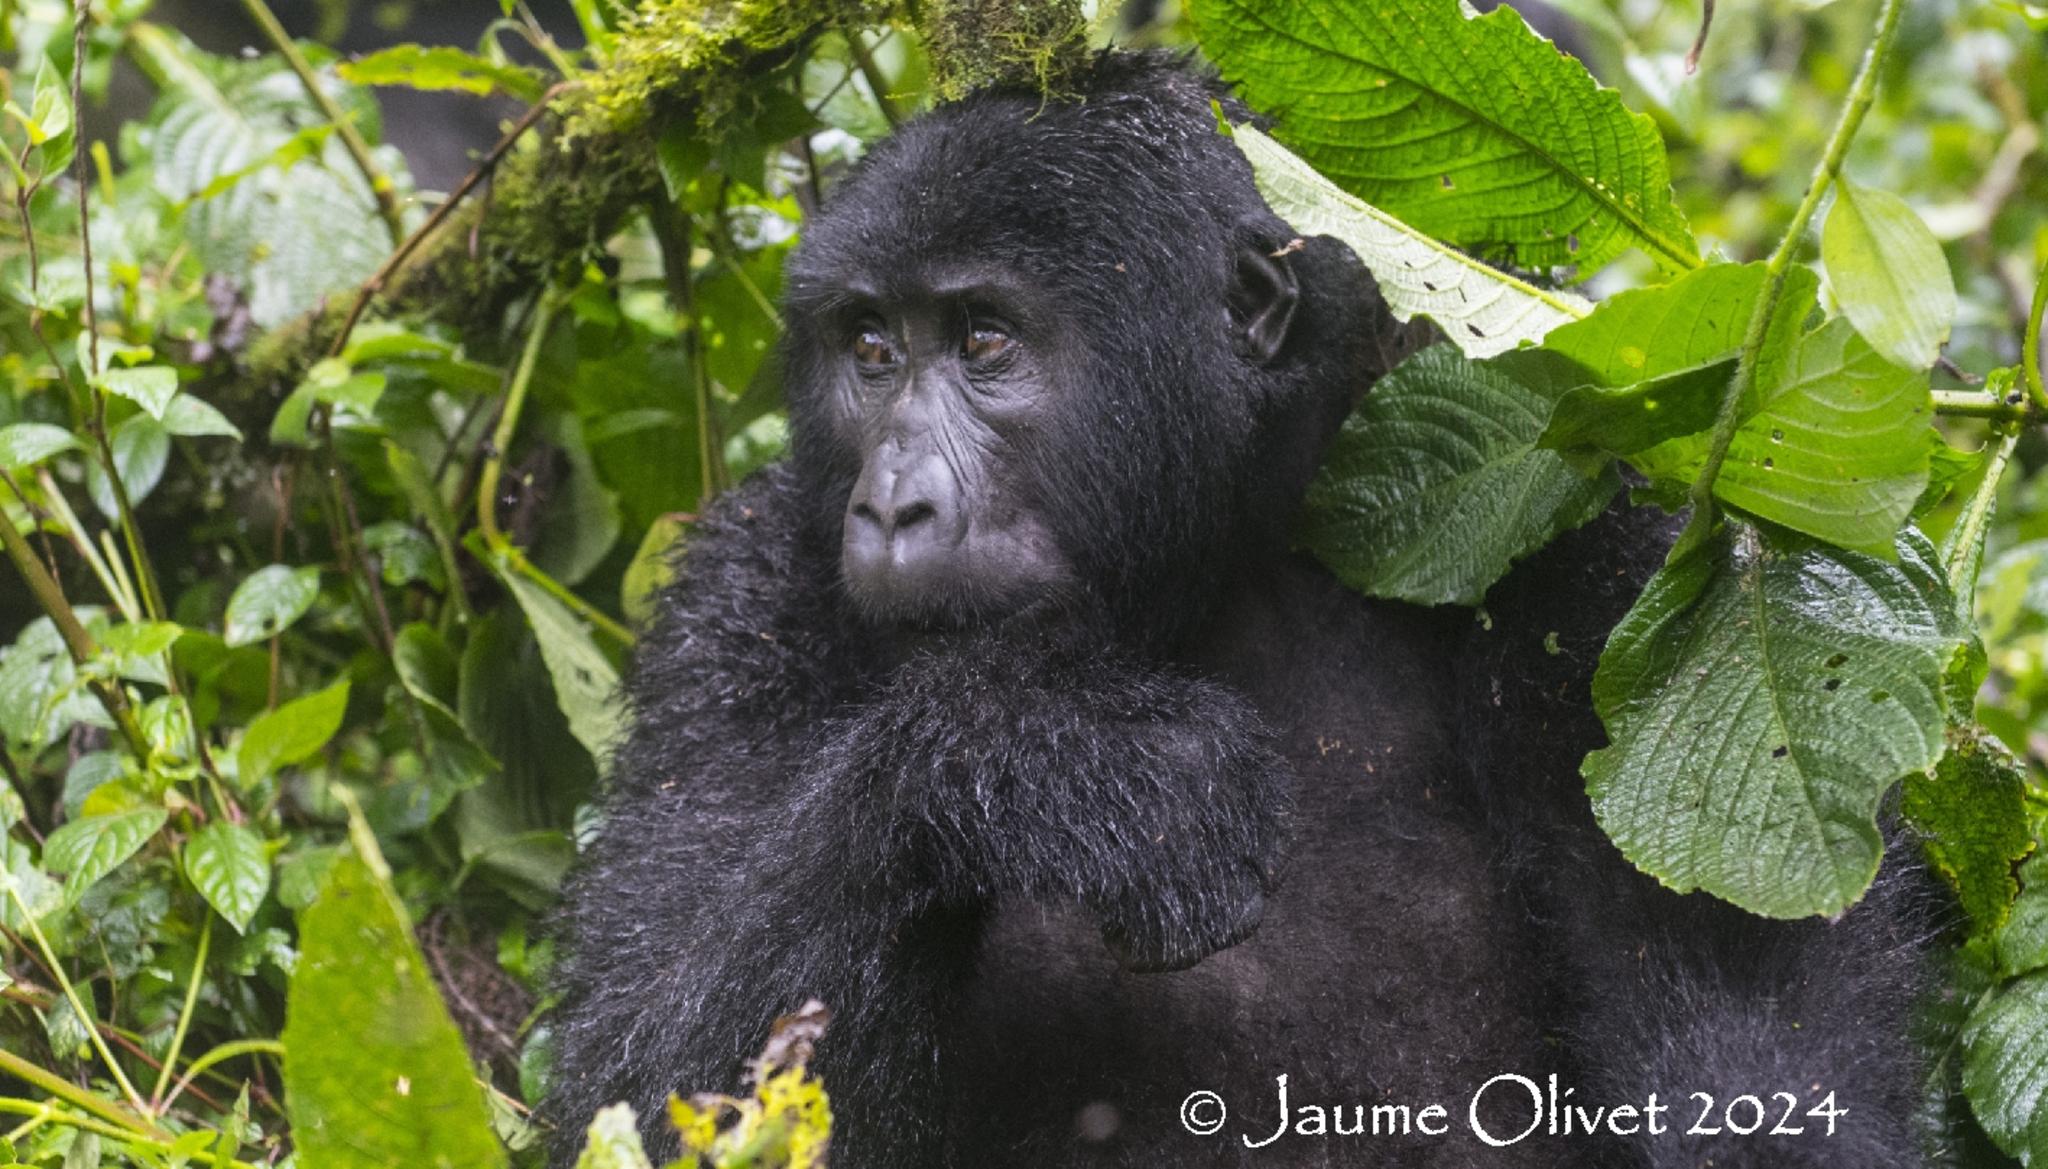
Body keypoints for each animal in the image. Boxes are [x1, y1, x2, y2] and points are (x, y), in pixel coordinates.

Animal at [548, 50, 1933, 1169]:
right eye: (871, 350)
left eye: (984, 339)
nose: (891, 507)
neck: (1224, 562)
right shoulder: (744, 601)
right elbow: (632, 1083)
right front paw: (1045, 754)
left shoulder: (1595, 501)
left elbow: (1754, 1004)